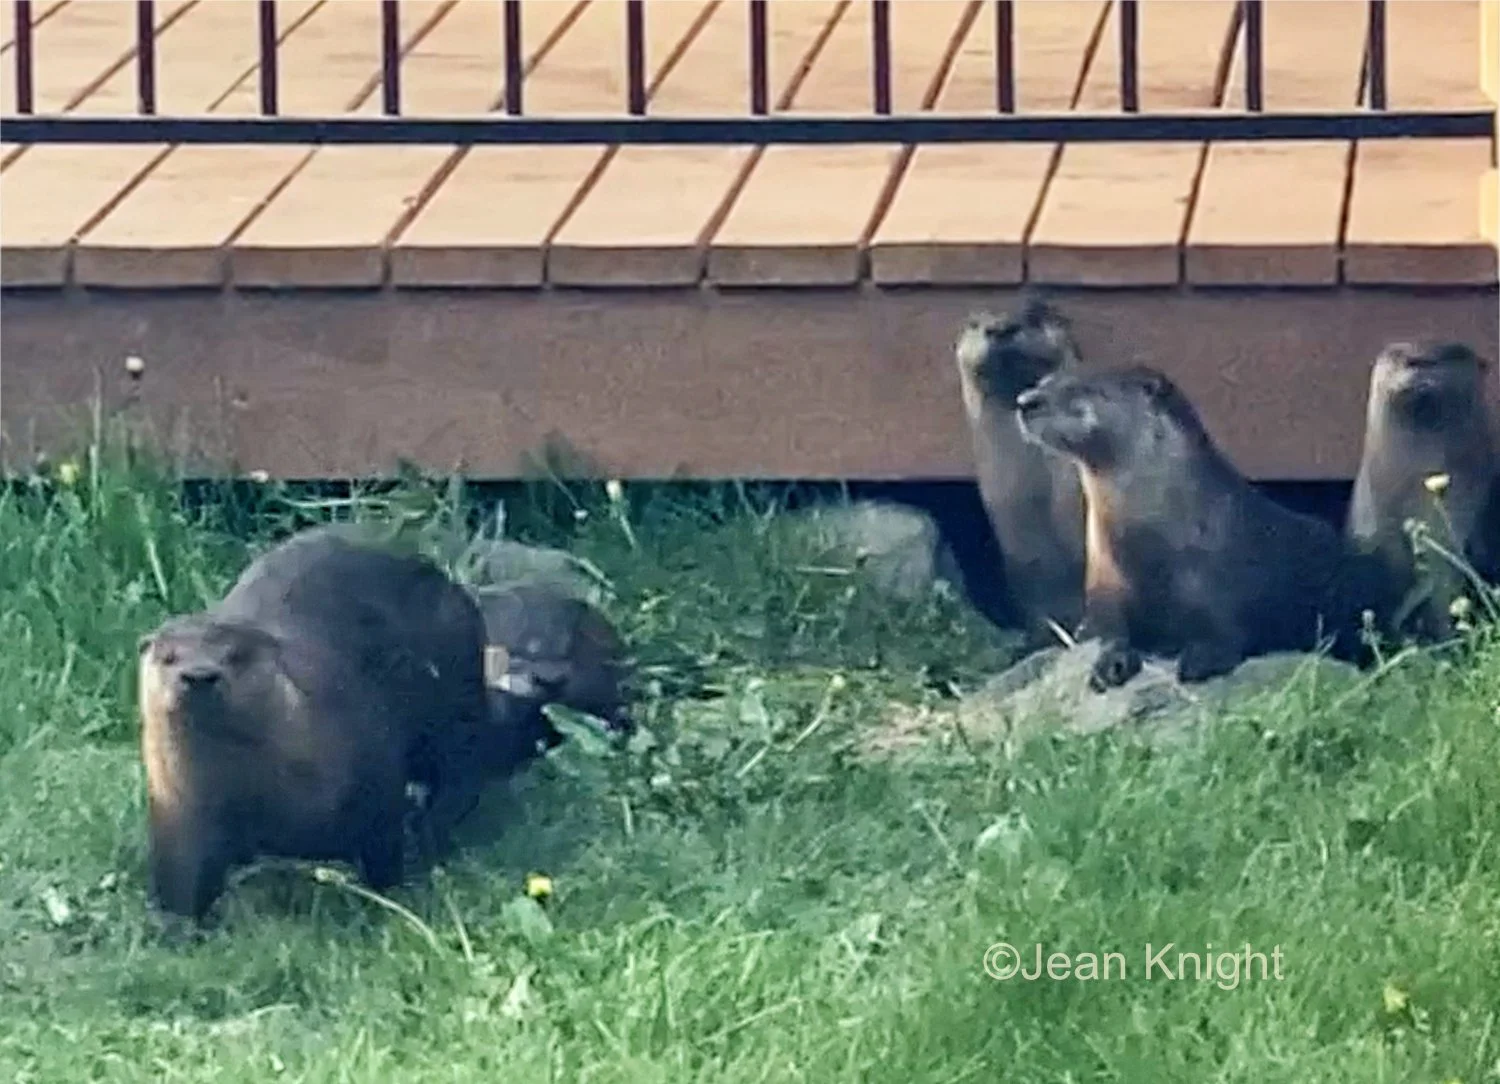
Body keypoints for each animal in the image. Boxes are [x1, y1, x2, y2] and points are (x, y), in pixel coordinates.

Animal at [1015, 365, 1393, 691]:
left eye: (1082, 389)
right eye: (1043, 381)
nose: (1025, 400)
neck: (1149, 549)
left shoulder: (1224, 580)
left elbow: (1225, 630)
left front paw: (1201, 659)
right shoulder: (1104, 581)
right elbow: (1105, 631)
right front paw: (1112, 661)